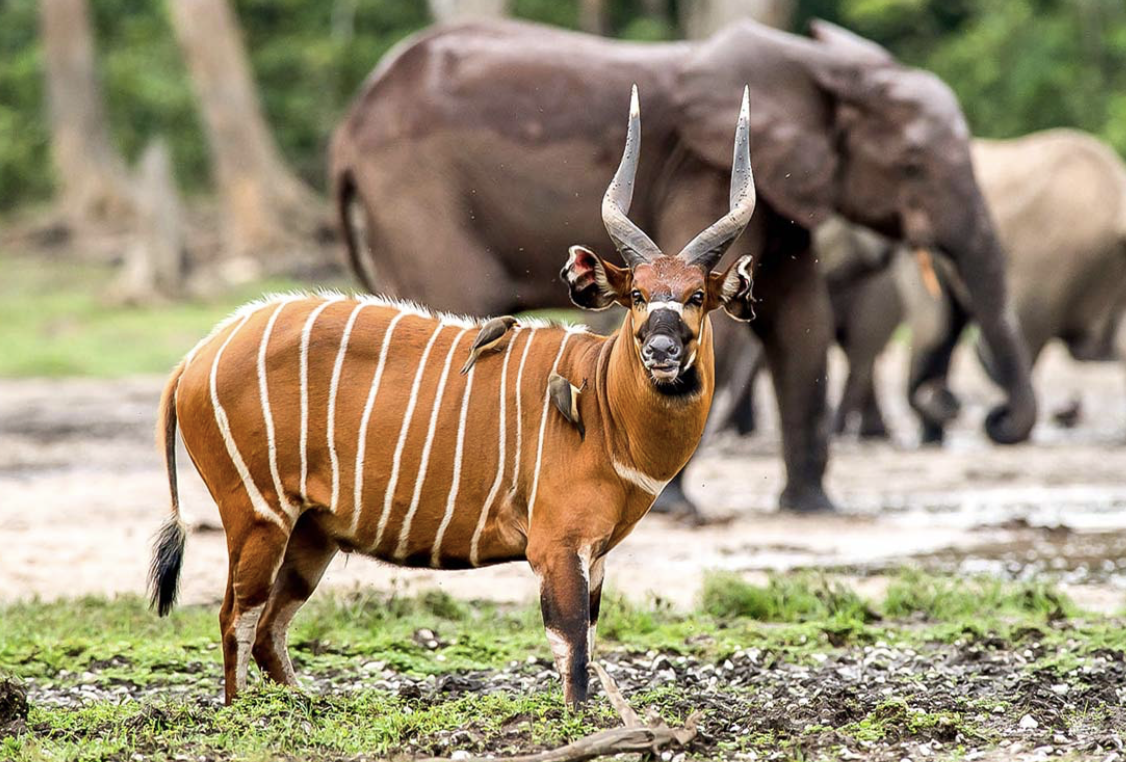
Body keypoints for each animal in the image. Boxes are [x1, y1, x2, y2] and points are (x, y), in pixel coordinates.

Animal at [149, 87, 756, 706]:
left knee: (270, 627)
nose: (660, 349)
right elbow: (573, 656)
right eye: (636, 294)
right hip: (257, 516)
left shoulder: (597, 552)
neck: (603, 406)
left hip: (310, 534)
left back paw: (306, 704)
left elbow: (584, 644)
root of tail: (193, 360)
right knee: (235, 619)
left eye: (697, 296)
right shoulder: (557, 546)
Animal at [331, 17, 1035, 513]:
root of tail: (348, 129)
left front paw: (812, 507)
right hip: (418, 194)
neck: (822, 67)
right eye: (914, 164)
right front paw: (671, 505)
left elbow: (801, 321)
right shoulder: (701, 167)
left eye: (698, 297)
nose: (995, 421)